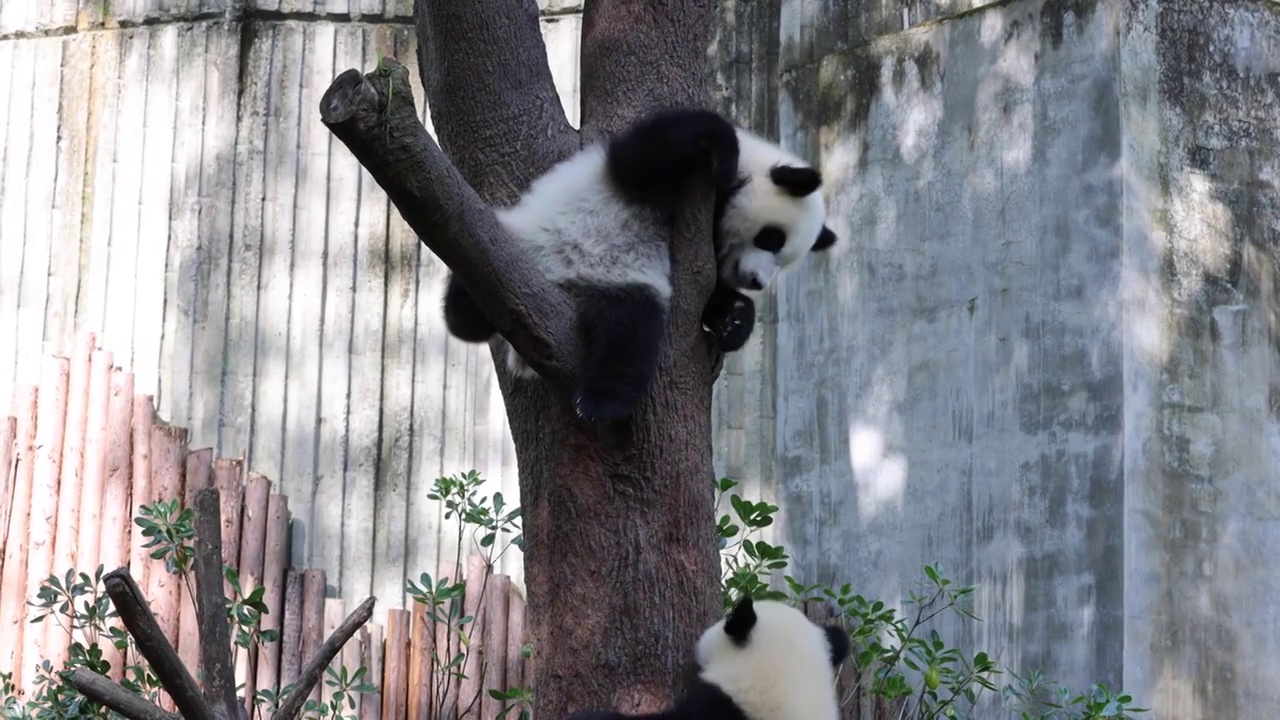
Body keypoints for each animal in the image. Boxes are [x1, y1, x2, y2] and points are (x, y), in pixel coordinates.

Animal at [440, 106, 839, 420]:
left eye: (785, 261)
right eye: (771, 237)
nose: (757, 281)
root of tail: (564, 287)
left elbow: (709, 294)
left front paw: (735, 320)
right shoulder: (656, 173)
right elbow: (646, 157)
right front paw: (722, 152)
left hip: (621, 285)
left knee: (628, 334)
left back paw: (600, 401)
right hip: (519, 240)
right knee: (475, 293)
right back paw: (467, 304)